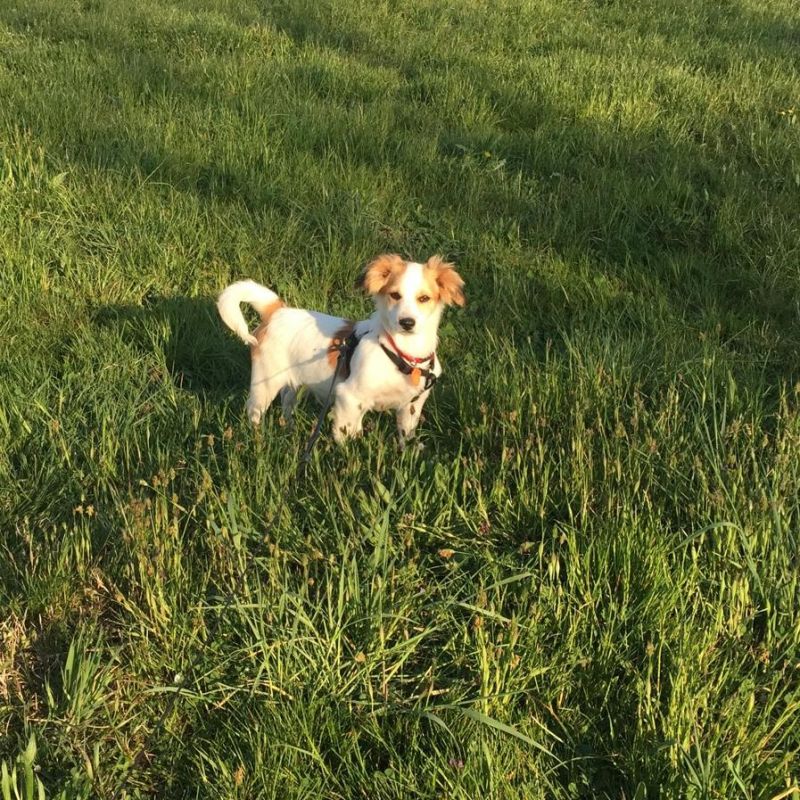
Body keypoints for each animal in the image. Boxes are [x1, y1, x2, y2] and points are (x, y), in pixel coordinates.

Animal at [219, 255, 466, 444]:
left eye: (424, 298)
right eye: (395, 295)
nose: (407, 322)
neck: (402, 354)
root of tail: (277, 311)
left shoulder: (411, 407)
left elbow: (406, 435)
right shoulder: (349, 397)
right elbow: (347, 436)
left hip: (294, 382)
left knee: (287, 402)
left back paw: (288, 428)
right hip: (265, 383)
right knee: (254, 411)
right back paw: (257, 438)